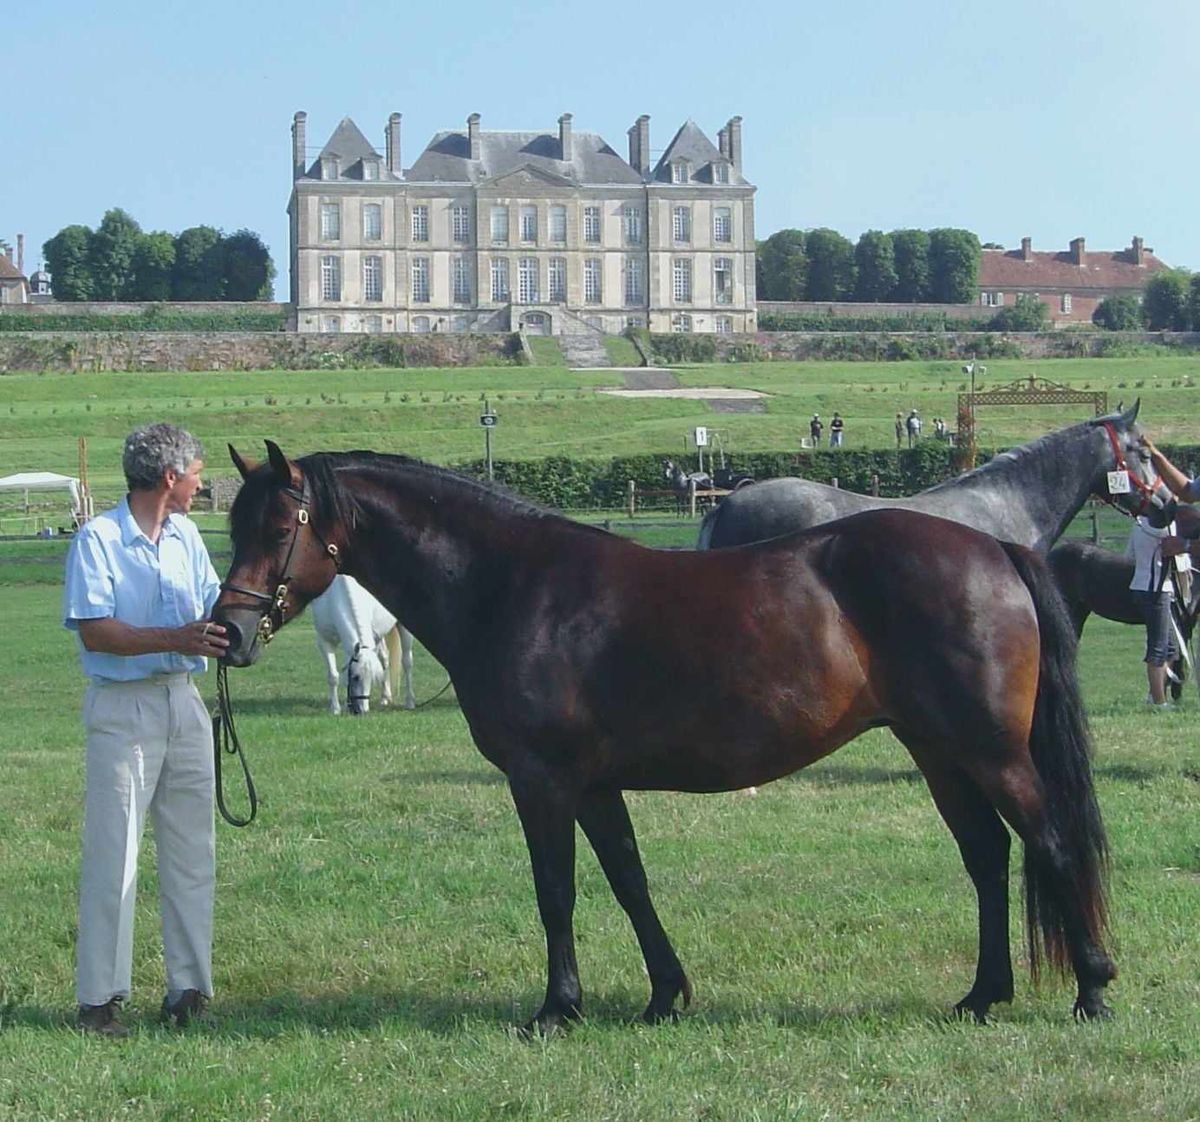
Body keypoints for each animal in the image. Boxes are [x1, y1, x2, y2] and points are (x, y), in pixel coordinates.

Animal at [213, 446, 1152, 1036]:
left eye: (279, 527)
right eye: (236, 525)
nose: (227, 632)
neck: (512, 585)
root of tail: (993, 550)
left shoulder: (542, 781)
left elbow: (557, 892)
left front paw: (557, 1009)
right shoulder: (594, 785)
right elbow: (629, 882)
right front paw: (666, 994)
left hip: (990, 753)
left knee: (1049, 841)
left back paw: (1094, 989)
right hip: (938, 751)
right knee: (988, 857)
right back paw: (983, 994)